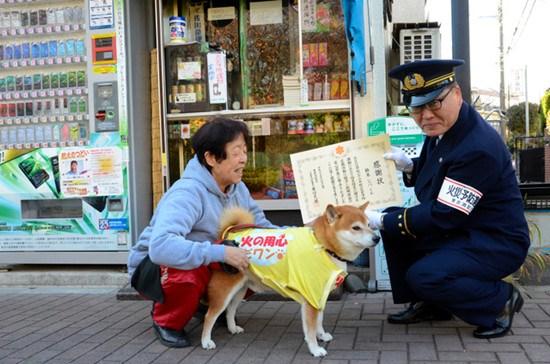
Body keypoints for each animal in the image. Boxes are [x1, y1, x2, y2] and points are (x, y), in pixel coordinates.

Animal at [202, 203, 380, 356]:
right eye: (356, 227)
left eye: (369, 225)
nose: (377, 238)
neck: (322, 246)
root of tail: (229, 234)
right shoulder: (311, 298)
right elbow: (310, 330)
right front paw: (315, 349)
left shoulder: (319, 295)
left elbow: (319, 321)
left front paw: (321, 335)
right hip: (224, 292)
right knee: (210, 316)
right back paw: (206, 342)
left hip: (241, 289)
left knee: (230, 310)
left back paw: (232, 328)